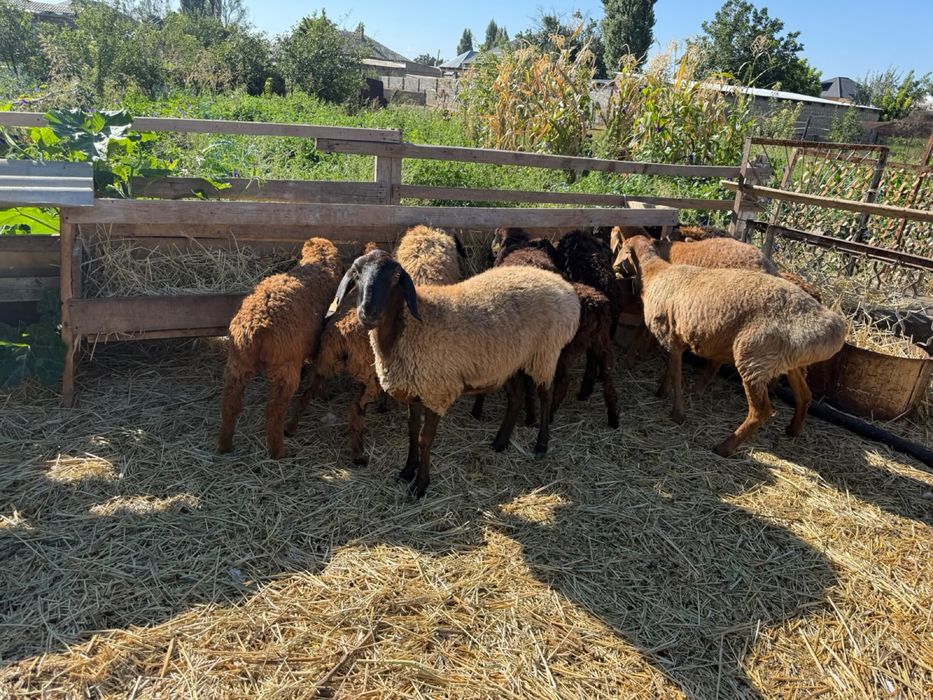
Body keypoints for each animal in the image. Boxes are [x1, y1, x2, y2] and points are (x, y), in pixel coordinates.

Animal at [218, 237, 343, 459]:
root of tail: (256, 328)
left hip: (237, 363)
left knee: (230, 403)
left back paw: (225, 446)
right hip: (284, 369)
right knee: (274, 411)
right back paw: (278, 451)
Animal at [286, 228, 464, 465]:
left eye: (395, 276)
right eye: (357, 274)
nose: (368, 314)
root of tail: (342, 337)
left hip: (324, 364)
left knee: (307, 393)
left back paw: (290, 428)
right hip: (367, 377)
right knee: (356, 409)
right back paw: (357, 453)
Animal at [330, 249, 580, 498]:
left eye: (395, 277)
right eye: (357, 274)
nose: (368, 314)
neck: (406, 328)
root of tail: (565, 288)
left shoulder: (436, 392)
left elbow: (424, 439)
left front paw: (420, 485)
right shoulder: (415, 390)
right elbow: (412, 431)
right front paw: (407, 470)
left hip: (545, 353)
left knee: (546, 396)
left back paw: (541, 445)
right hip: (510, 360)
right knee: (516, 398)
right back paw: (500, 442)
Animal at [616, 234, 845, 456]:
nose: (616, 268)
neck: (657, 270)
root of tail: (833, 327)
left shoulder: (670, 337)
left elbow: (673, 372)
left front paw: (675, 411)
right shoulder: (676, 339)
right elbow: (671, 370)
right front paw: (663, 391)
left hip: (753, 358)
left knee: (760, 410)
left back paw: (724, 446)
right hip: (788, 362)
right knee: (804, 395)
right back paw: (792, 430)